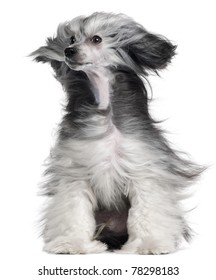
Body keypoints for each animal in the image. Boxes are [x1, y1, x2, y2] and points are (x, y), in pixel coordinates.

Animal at [30, 12, 202, 254]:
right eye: (72, 39)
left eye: (96, 39)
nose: (68, 51)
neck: (106, 111)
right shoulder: (76, 173)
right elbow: (75, 212)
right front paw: (71, 243)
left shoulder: (143, 170)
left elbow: (146, 212)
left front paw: (149, 243)